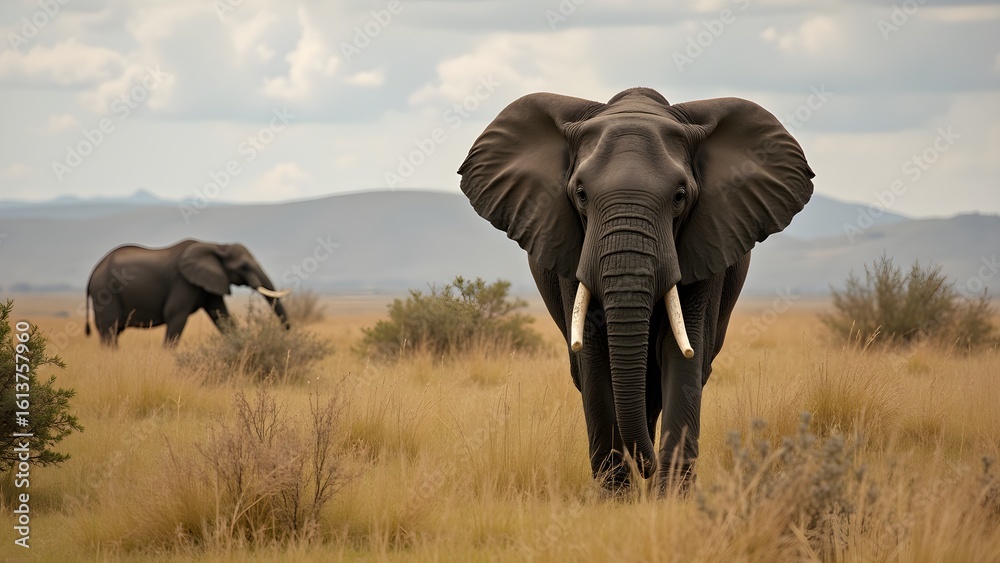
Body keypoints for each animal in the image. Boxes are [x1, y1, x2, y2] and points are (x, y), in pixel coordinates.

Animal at [85, 239, 291, 346]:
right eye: (244, 267)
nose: (286, 333)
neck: (216, 246)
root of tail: (93, 273)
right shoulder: (183, 282)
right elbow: (176, 315)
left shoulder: (209, 283)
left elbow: (221, 316)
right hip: (105, 294)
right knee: (109, 331)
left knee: (113, 332)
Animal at [458, 88, 813, 492]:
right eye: (581, 194)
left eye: (679, 197)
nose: (648, 466)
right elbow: (595, 357)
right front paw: (616, 498)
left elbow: (681, 351)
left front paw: (671, 499)